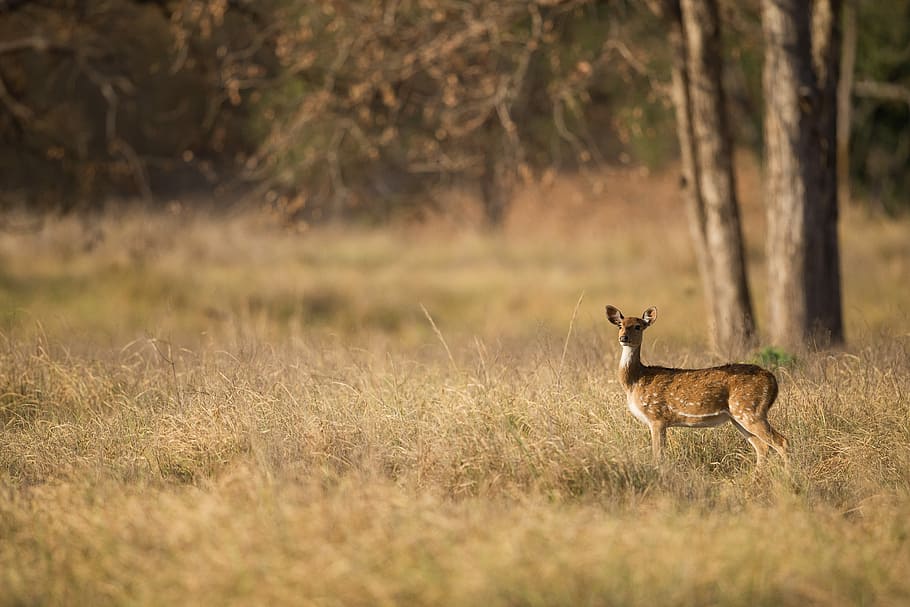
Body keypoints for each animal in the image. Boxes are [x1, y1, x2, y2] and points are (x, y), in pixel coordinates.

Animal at [605, 305, 788, 467]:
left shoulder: (657, 417)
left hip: (750, 410)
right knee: (762, 447)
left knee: (781, 442)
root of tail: (773, 381)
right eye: (620, 326)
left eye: (638, 326)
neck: (635, 381)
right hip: (738, 416)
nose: (623, 338)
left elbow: (658, 456)